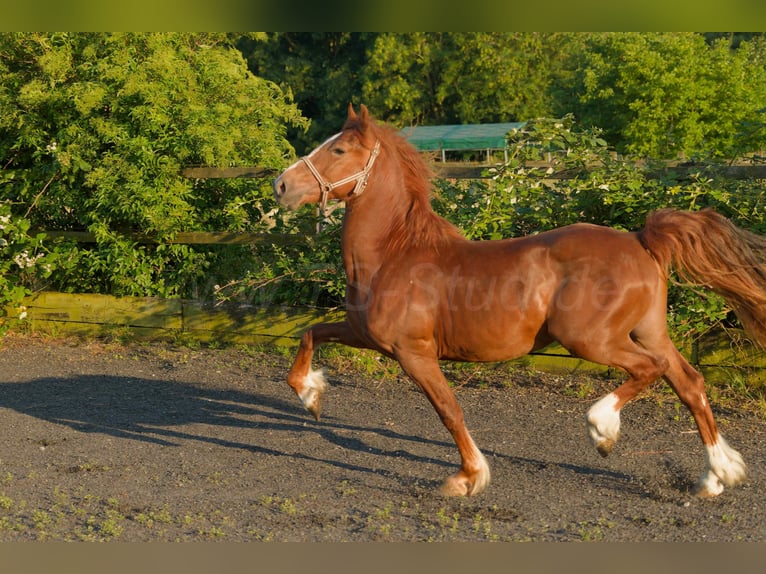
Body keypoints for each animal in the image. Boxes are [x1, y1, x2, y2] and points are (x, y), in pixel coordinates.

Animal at [273, 103, 766, 498]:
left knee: (653, 370)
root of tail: (640, 239)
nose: (281, 185)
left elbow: (449, 411)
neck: (395, 254)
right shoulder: (362, 333)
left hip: (589, 339)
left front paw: (468, 478)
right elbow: (309, 335)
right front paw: (311, 396)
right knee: (690, 383)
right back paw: (718, 476)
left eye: (339, 150)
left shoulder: (413, 352)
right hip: (647, 330)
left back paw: (603, 430)